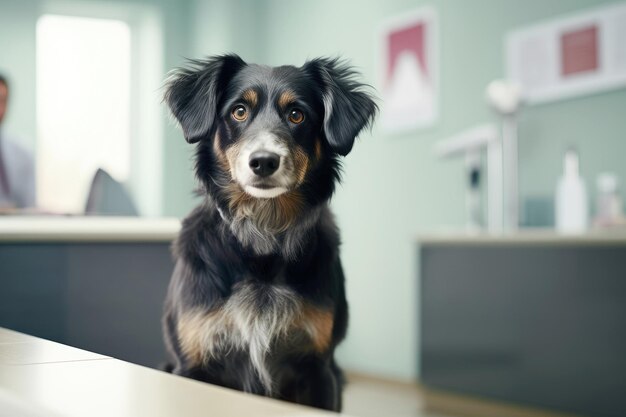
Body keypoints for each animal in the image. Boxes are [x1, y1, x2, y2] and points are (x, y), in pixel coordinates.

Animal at [162, 52, 376, 410]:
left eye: (296, 115)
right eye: (239, 111)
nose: (263, 161)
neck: (263, 238)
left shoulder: (318, 367)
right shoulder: (192, 361)